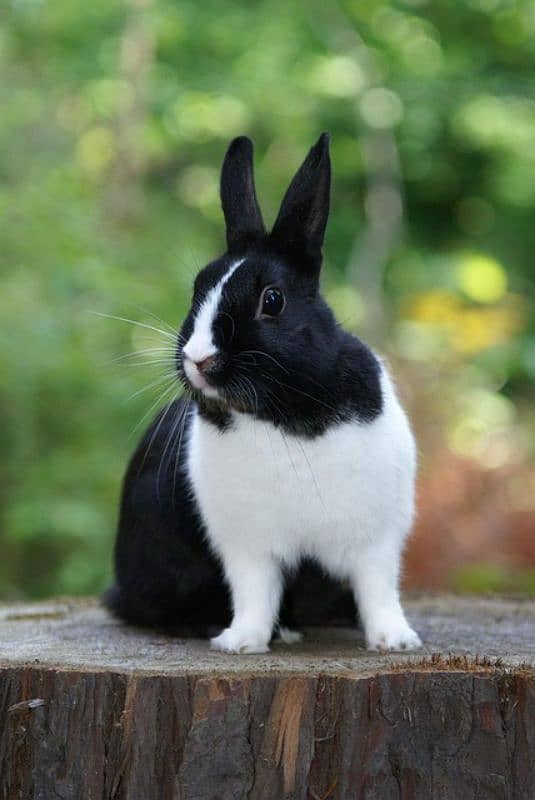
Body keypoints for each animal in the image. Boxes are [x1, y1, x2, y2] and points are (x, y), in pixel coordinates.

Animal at [105, 133, 421, 654]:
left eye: (271, 300)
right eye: (196, 291)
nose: (198, 358)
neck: (283, 413)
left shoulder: (376, 539)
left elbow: (378, 590)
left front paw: (395, 640)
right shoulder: (247, 547)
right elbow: (255, 594)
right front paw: (240, 642)